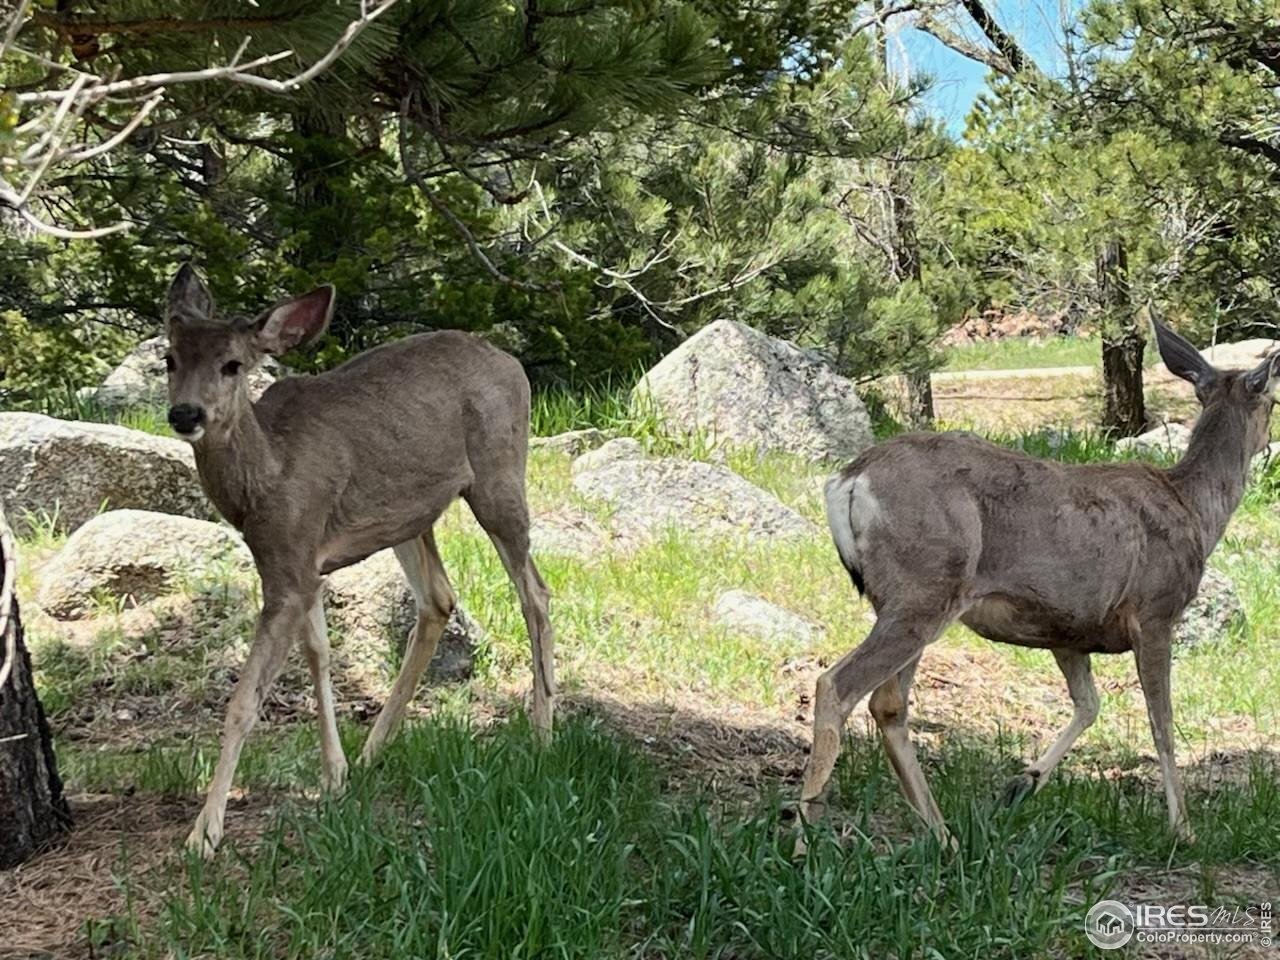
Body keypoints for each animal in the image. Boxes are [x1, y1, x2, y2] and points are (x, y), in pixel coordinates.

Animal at [161, 264, 555, 857]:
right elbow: (320, 655)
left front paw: (204, 833)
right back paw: (374, 747)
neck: (265, 480)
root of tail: (511, 363)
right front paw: (335, 774)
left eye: (232, 364)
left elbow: (244, 700)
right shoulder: (302, 565)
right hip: (411, 515)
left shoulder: (291, 566)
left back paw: (543, 730)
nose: (186, 413)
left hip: (498, 473)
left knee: (535, 591)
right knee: (439, 600)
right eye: (169, 358)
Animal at [799, 319, 1277, 850]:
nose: (1268, 442)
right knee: (837, 685)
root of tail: (847, 480)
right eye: (1274, 401)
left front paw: (1021, 784)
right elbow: (1163, 725)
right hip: (924, 587)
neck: (1194, 510)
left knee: (888, 705)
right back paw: (805, 832)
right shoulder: (1155, 610)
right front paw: (1182, 828)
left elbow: (1089, 705)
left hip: (907, 597)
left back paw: (944, 836)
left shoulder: (1068, 629)